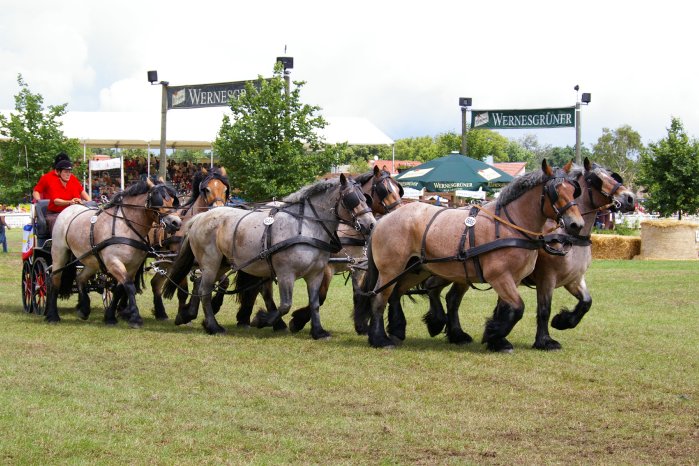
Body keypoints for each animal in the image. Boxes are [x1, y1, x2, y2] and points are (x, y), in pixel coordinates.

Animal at [43, 178, 180, 328]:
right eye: (158, 199)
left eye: (173, 200)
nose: (176, 223)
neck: (126, 226)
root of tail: (69, 208)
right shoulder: (113, 262)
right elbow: (129, 286)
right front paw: (135, 318)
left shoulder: (133, 266)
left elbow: (120, 289)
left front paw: (110, 317)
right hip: (59, 253)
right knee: (55, 279)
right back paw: (52, 315)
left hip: (92, 259)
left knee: (80, 279)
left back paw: (84, 309)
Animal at [148, 167, 230, 320]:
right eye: (207, 190)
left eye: (225, 189)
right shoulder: (180, 260)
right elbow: (183, 291)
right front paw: (183, 314)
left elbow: (224, 282)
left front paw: (215, 305)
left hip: (164, 260)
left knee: (155, 283)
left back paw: (161, 313)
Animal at [356, 160, 584, 350]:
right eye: (555, 191)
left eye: (574, 190)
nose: (576, 224)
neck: (510, 225)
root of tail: (383, 220)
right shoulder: (499, 276)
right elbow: (518, 307)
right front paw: (495, 335)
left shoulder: (513, 279)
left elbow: (505, 309)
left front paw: (496, 339)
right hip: (391, 270)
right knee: (379, 298)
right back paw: (380, 339)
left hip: (416, 269)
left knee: (396, 293)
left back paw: (399, 329)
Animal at [408, 158, 636, 348]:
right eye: (595, 180)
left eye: (612, 175)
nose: (630, 198)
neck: (568, 237)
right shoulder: (546, 278)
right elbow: (543, 310)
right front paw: (544, 340)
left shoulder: (573, 278)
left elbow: (586, 302)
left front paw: (563, 321)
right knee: (437, 290)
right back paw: (440, 323)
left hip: (461, 272)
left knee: (450, 297)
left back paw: (454, 332)